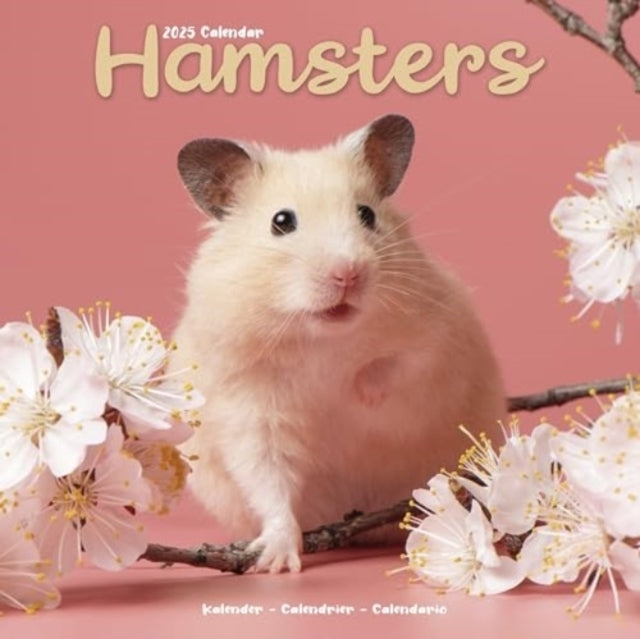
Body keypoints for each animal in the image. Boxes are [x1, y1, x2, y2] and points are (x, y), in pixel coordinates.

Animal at [170, 114, 505, 573]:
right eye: (281, 221)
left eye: (366, 214)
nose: (348, 273)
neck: (323, 341)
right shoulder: (250, 408)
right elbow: (269, 482)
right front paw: (275, 561)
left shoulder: (440, 341)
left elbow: (396, 369)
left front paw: (360, 395)